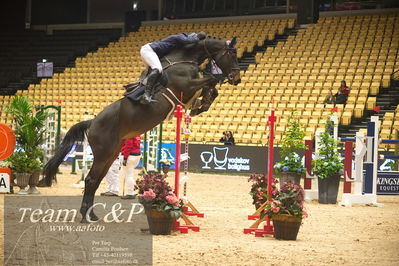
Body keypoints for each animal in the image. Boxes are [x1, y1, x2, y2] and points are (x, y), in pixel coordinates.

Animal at [43, 35, 241, 222]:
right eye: (232, 54)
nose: (236, 79)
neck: (185, 59)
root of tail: (92, 122)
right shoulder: (187, 86)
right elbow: (212, 79)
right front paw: (201, 104)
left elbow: (212, 87)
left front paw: (201, 105)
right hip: (103, 153)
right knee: (91, 179)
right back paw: (85, 216)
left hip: (112, 153)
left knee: (96, 180)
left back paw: (92, 215)